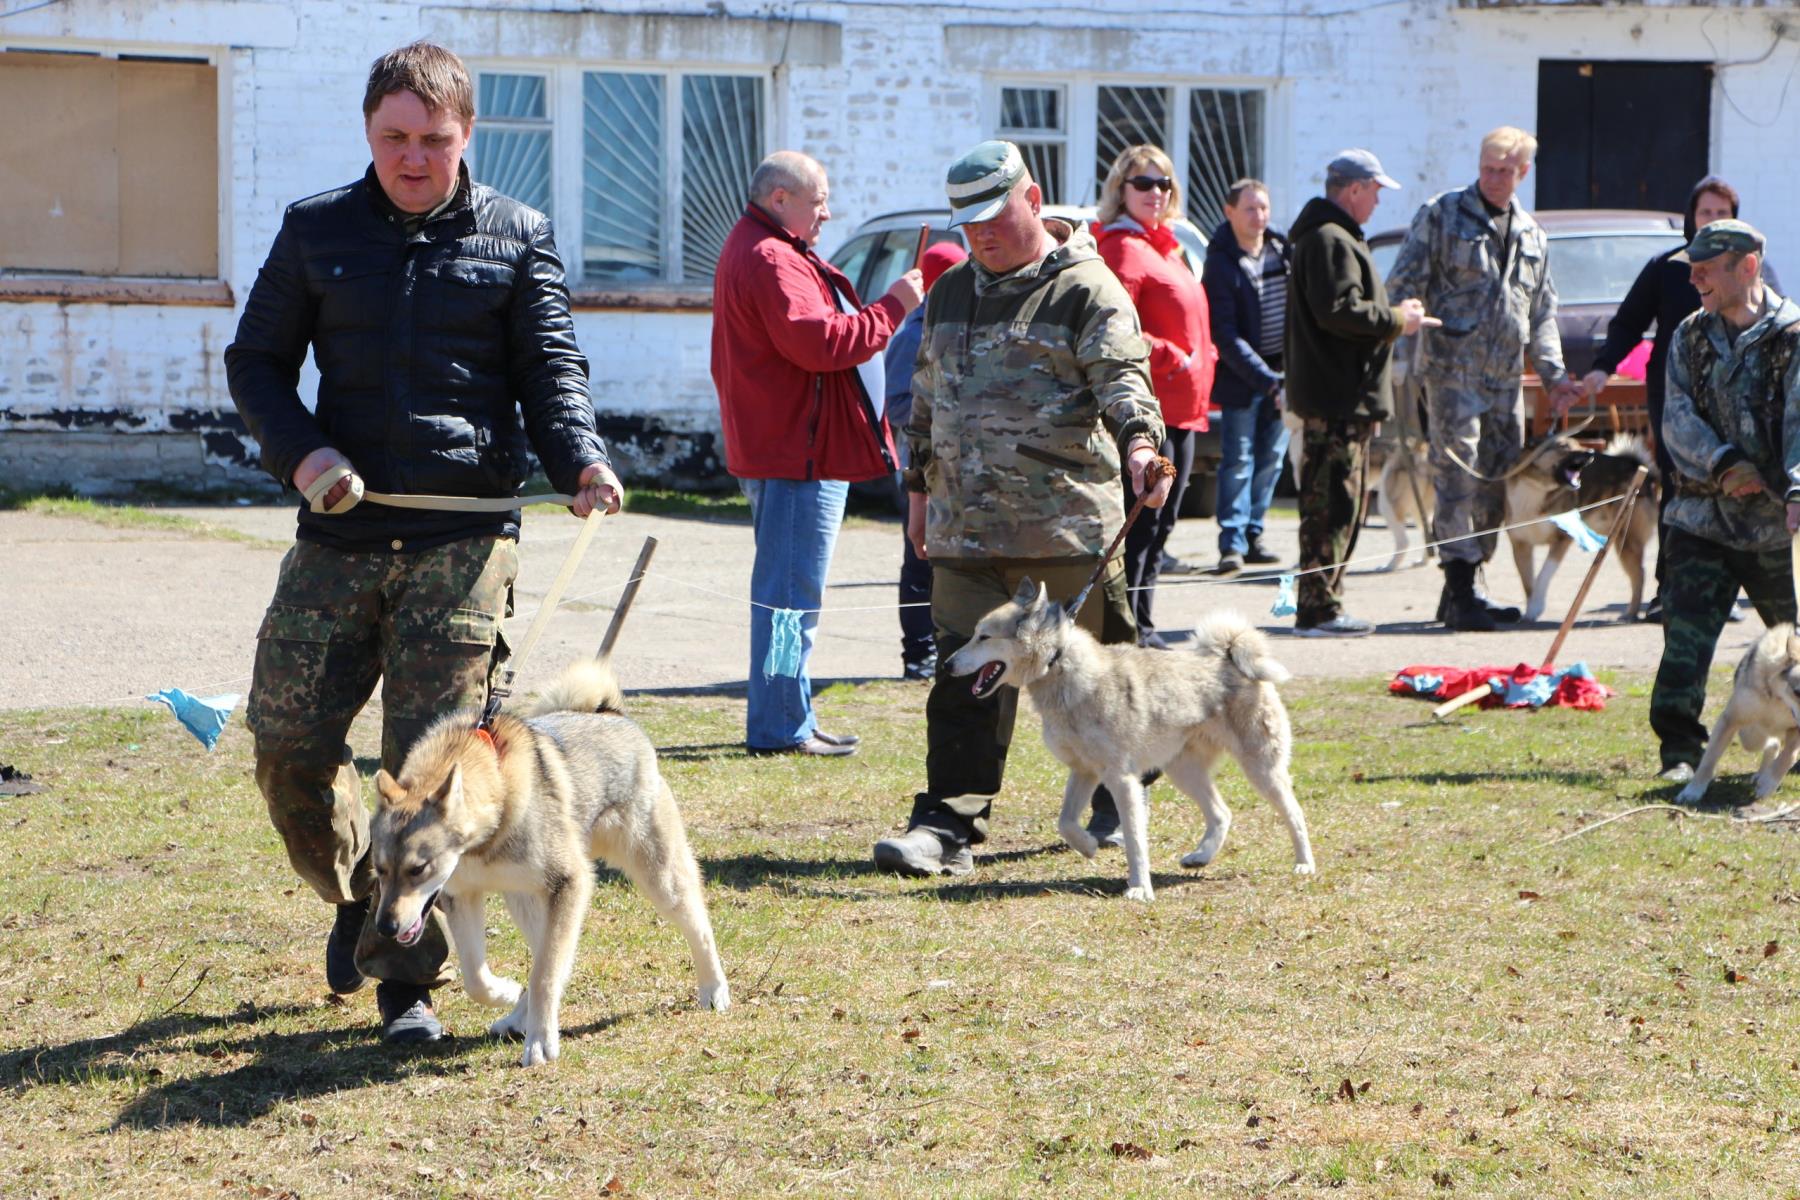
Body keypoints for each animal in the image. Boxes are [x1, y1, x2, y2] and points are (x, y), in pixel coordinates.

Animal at [369, 665, 727, 1072]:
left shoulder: (571, 881)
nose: (385, 927)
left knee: (698, 927)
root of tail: (612, 714)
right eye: (379, 869)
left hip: (657, 878)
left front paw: (541, 1042)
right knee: (546, 956)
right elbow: (477, 978)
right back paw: (517, 1016)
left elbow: (544, 975)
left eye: (418, 869)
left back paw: (714, 988)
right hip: (527, 901)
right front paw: (504, 992)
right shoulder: (463, 896)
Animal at [950, 582, 1317, 899]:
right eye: (974, 634)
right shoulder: (1084, 771)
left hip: (1260, 768)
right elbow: (1065, 822)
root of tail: (1228, 655)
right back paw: (1200, 857)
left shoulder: (1121, 779)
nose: (948, 664)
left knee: (1295, 813)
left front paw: (1140, 888)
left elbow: (1134, 839)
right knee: (1221, 813)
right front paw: (1088, 846)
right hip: (1184, 771)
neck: (1060, 668)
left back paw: (1304, 865)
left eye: (984, 637)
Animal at [1504, 431, 1656, 618]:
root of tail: (1638, 467)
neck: (1537, 488)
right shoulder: (1521, 546)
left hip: (1626, 541)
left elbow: (1543, 575)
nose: (1590, 452)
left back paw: (1631, 613)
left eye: (1579, 444)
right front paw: (1532, 608)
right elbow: (1528, 583)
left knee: (1639, 575)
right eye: (1563, 446)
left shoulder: (1562, 540)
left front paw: (1536, 608)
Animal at [1670, 629, 1800, 805]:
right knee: (1769, 743)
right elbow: (1708, 760)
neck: (1779, 701)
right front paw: (1692, 791)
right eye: (1797, 692)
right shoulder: (1730, 720)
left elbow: (1788, 756)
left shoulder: (1795, 730)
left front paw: (1768, 784)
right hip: (1749, 734)